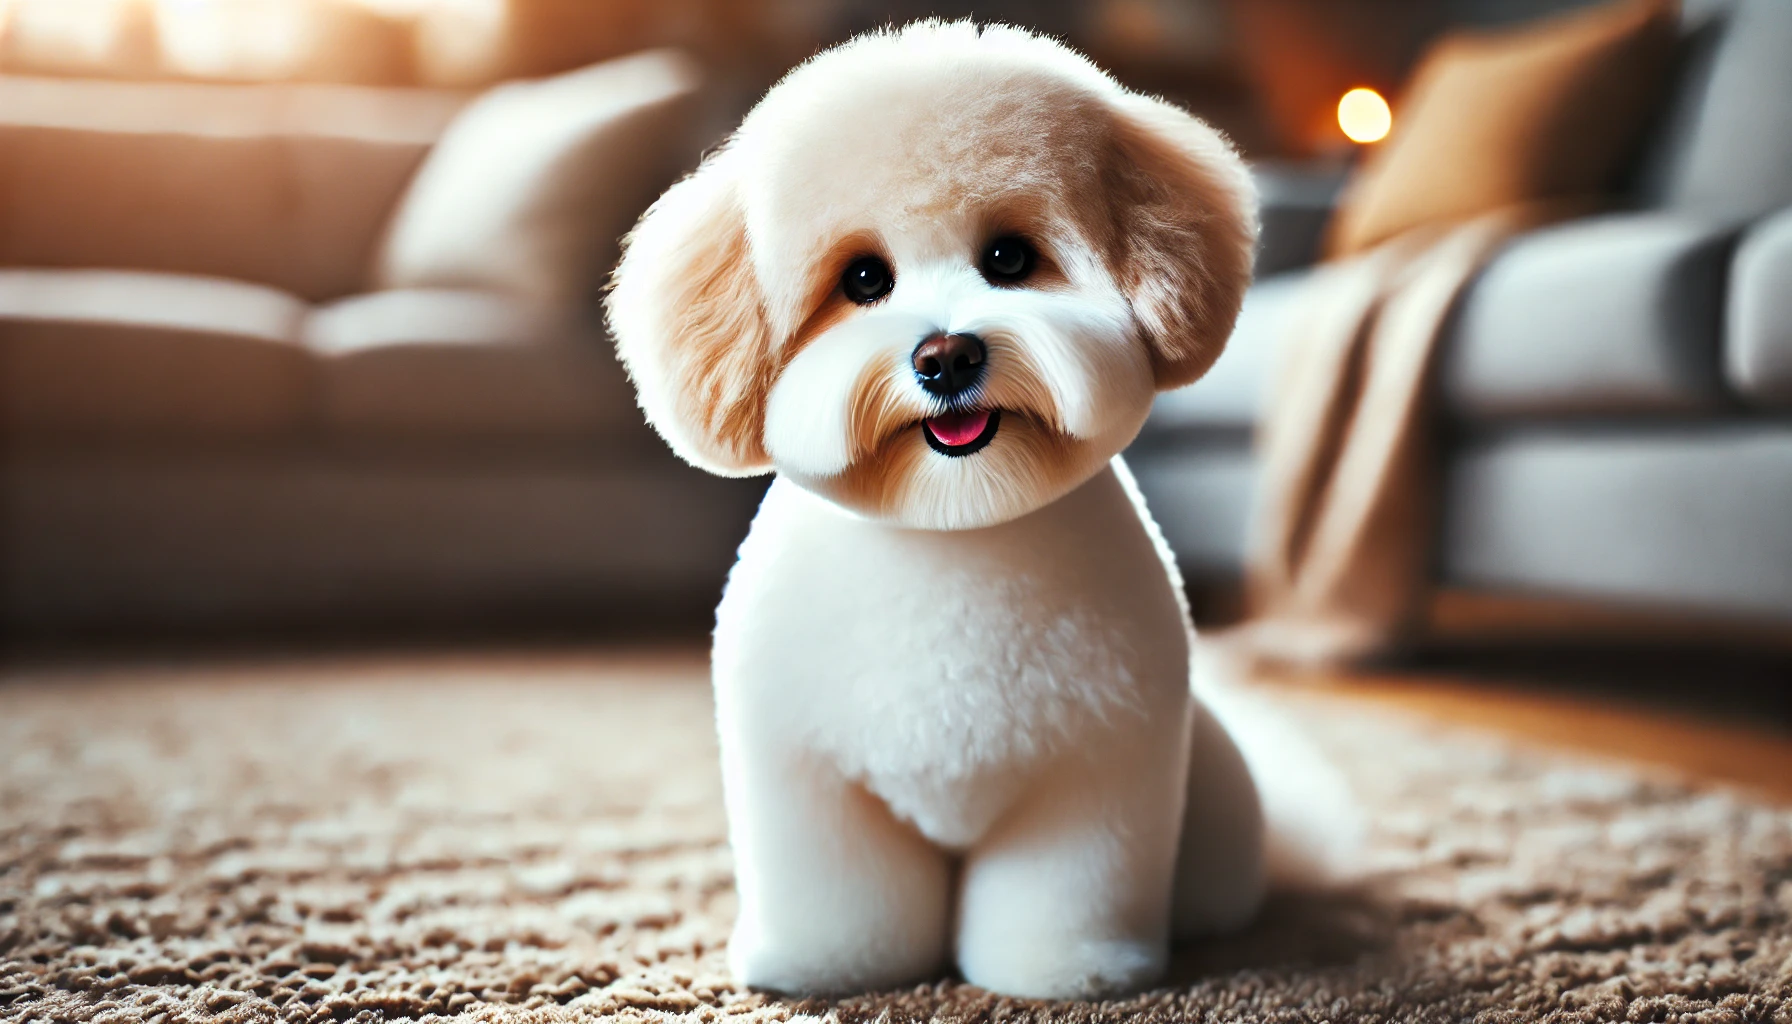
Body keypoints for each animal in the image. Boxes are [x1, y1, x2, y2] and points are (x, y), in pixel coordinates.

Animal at [609, 22, 1347, 1004]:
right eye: (863, 278)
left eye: (1008, 259)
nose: (947, 356)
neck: (953, 530)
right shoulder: (811, 785)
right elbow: (837, 898)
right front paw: (829, 969)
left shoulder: (1094, 781)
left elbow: (1064, 892)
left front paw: (1072, 972)